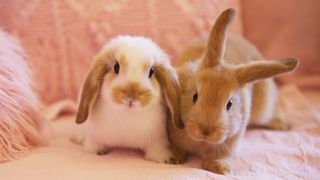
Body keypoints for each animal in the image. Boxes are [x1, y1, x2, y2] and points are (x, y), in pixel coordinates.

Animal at [74, 35, 181, 164]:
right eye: (116, 67)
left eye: (151, 71)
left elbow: (157, 150)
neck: (128, 114)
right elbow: (94, 146)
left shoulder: (157, 140)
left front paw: (165, 159)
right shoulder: (95, 137)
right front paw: (96, 152)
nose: (131, 96)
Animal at [169, 8, 298, 174]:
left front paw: (220, 169)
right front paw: (175, 158)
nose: (206, 131)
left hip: (263, 109)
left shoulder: (231, 141)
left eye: (229, 104)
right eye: (195, 96)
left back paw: (282, 125)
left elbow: (220, 156)